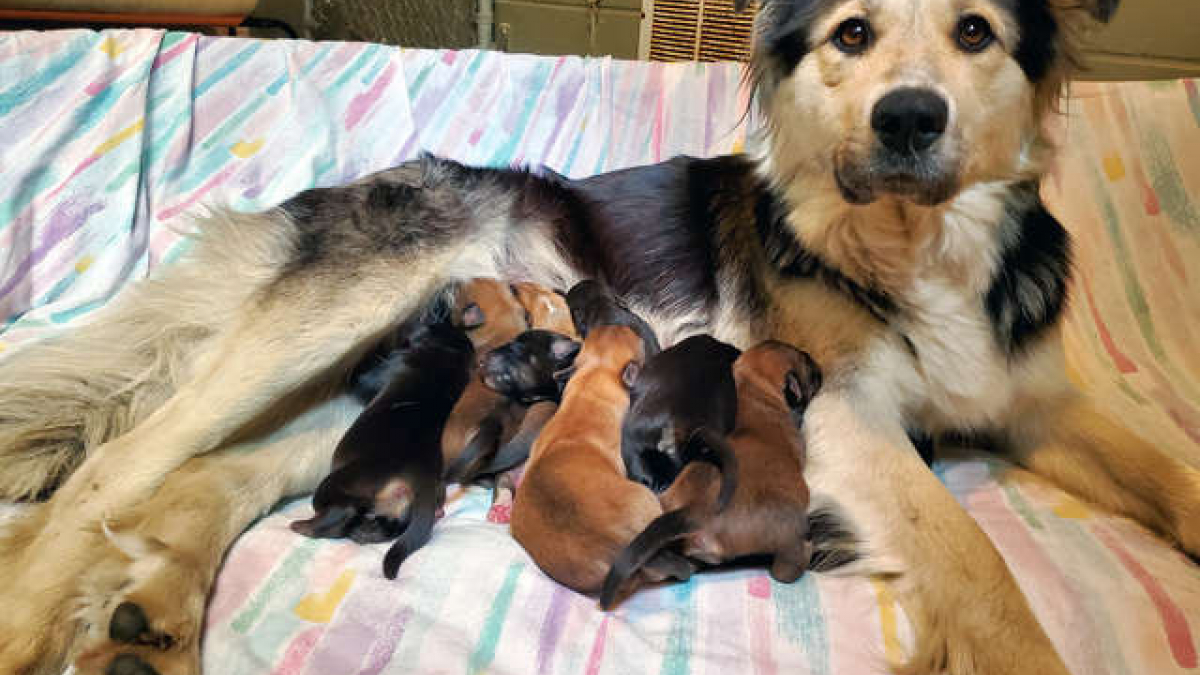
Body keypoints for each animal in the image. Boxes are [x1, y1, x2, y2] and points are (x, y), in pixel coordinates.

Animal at [290, 317, 472, 578]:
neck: (451, 354)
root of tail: (422, 477)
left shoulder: (377, 373)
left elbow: (360, 375)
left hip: (337, 484)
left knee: (342, 512)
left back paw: (305, 526)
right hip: (402, 508)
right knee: (393, 526)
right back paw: (365, 532)